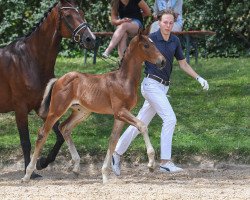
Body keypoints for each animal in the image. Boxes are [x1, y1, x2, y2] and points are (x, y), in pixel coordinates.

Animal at [21, 31, 166, 183]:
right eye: (146, 45)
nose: (163, 61)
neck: (123, 80)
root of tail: (59, 79)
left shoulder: (120, 115)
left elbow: (113, 140)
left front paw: (105, 175)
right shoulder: (120, 112)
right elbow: (142, 125)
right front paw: (151, 164)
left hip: (82, 112)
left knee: (64, 128)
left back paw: (76, 167)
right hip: (56, 110)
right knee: (43, 133)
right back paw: (27, 174)